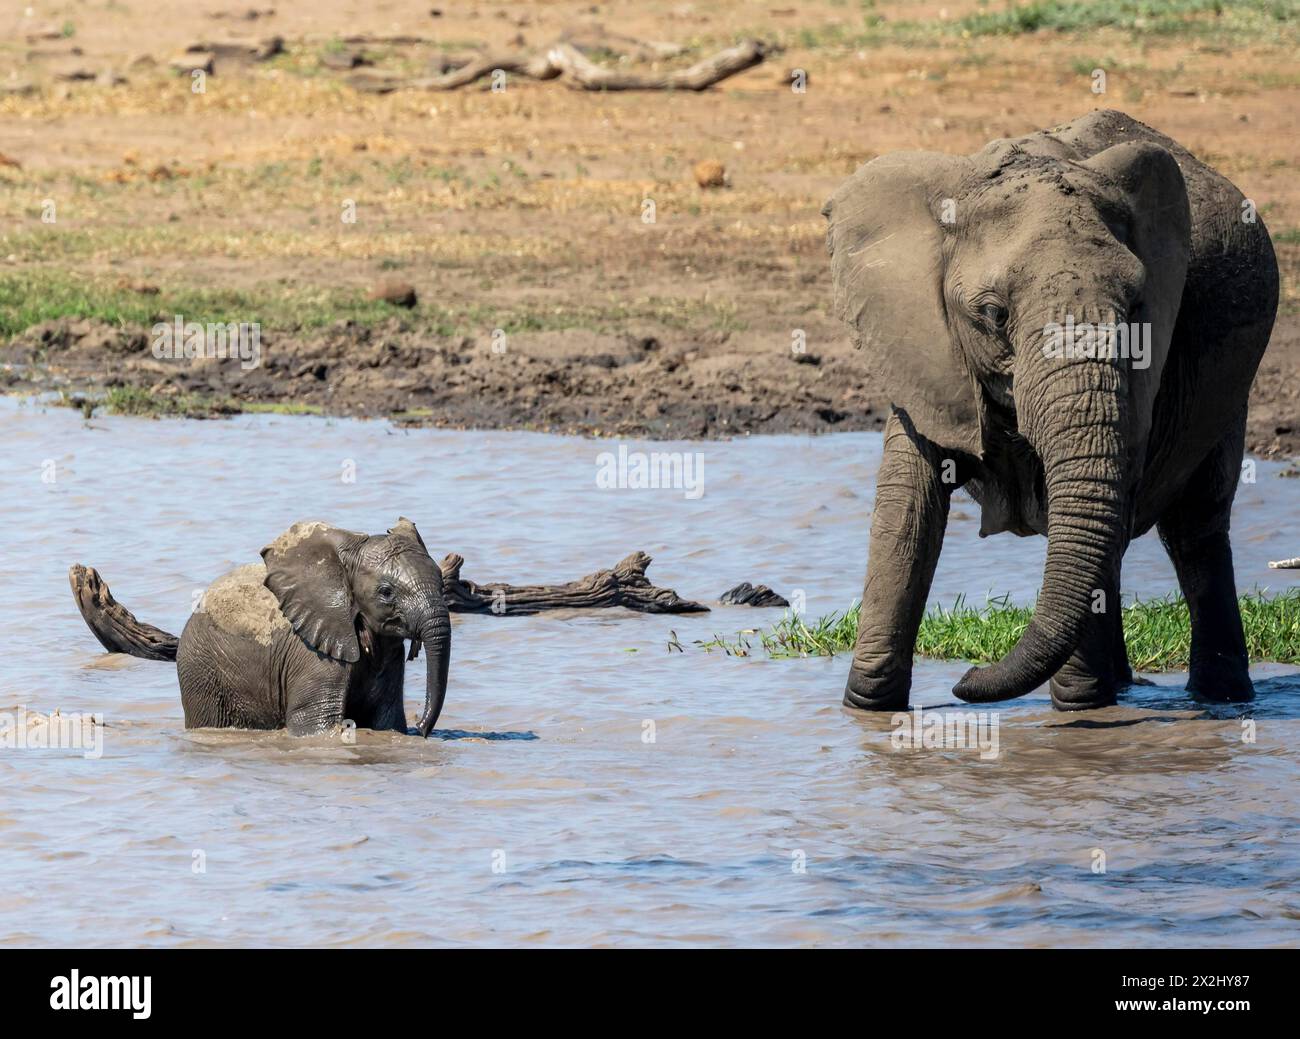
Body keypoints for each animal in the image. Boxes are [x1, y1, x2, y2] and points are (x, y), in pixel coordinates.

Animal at [73, 517, 457, 733]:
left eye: (442, 582)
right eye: (386, 592)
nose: (422, 728)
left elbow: (386, 720)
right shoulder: (312, 654)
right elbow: (315, 725)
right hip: (201, 670)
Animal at [821, 109, 1279, 712]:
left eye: (1137, 307)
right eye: (992, 315)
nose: (965, 678)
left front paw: (1079, 709)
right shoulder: (919, 345)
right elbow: (907, 508)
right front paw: (868, 709)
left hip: (1230, 391)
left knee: (1194, 526)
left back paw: (1219, 699)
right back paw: (1132, 688)